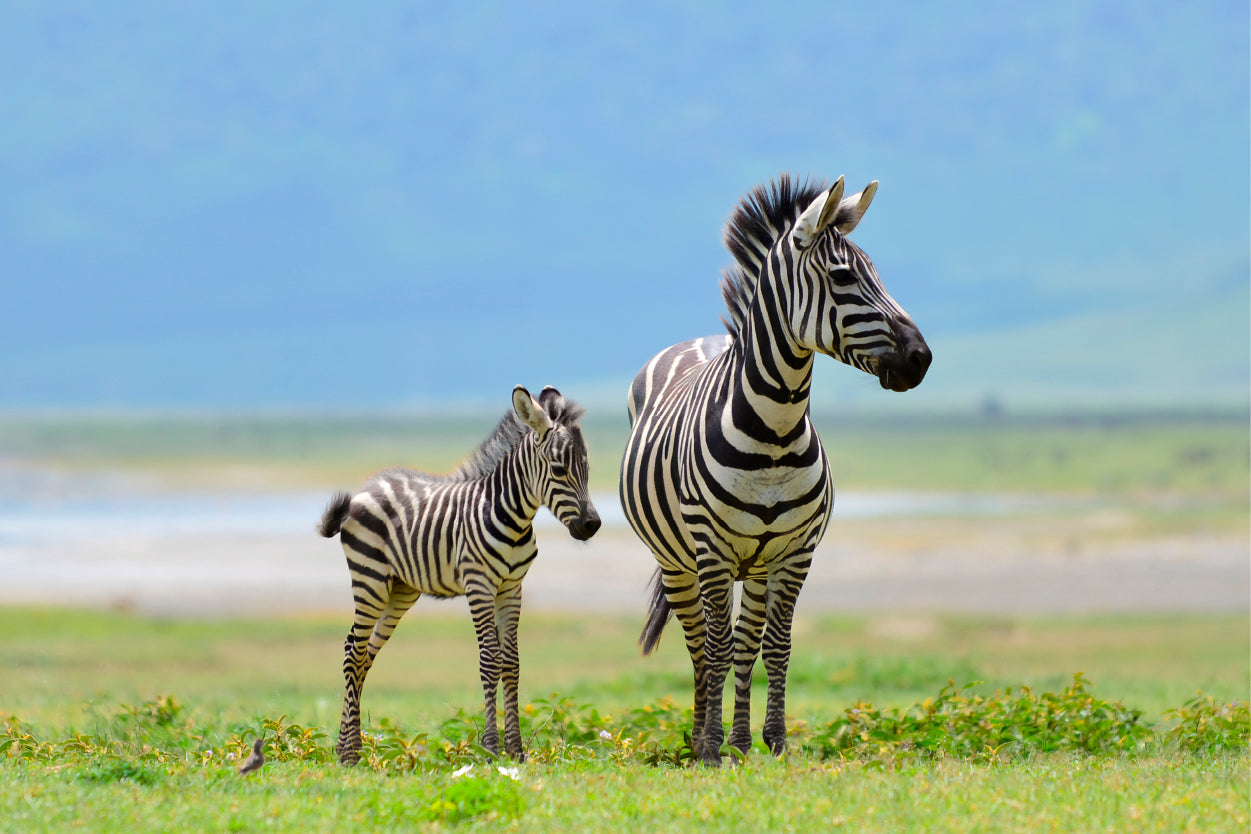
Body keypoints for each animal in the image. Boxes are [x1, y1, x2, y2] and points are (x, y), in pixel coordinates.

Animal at [318, 384, 601, 765]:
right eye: (558, 469)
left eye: (587, 467)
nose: (592, 525)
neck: (513, 517)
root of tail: (367, 487)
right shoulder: (478, 585)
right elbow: (490, 660)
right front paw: (492, 747)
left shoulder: (511, 589)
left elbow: (511, 663)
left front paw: (516, 750)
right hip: (370, 580)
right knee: (352, 651)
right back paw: (349, 753)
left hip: (400, 591)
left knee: (365, 656)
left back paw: (348, 747)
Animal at [619, 174, 931, 766]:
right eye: (843, 276)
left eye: (877, 272)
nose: (920, 359)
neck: (775, 433)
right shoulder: (712, 550)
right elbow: (716, 647)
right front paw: (710, 750)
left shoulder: (796, 551)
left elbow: (775, 646)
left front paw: (775, 743)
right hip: (676, 561)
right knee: (701, 645)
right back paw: (701, 739)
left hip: (758, 564)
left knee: (746, 641)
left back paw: (740, 741)